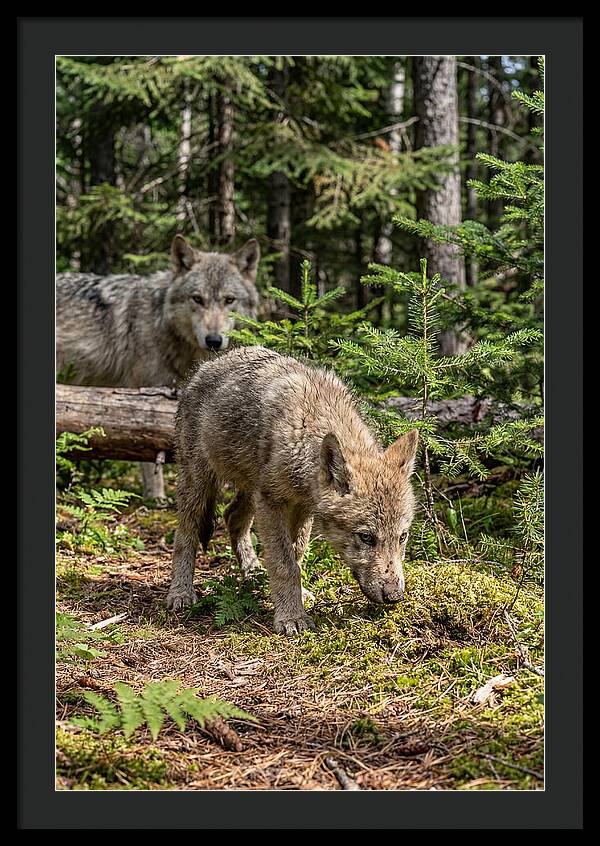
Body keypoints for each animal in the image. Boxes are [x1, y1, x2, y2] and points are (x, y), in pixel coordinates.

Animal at [56, 235, 260, 498]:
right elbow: (148, 453)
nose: (214, 340)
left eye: (229, 300)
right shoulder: (144, 397)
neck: (162, 323)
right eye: (197, 299)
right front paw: (156, 498)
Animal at [167, 346, 419, 635]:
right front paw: (290, 617)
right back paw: (180, 593)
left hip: (251, 491)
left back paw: (253, 573)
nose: (394, 596)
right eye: (366, 537)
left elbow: (296, 556)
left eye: (402, 537)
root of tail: (206, 366)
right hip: (199, 484)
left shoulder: (302, 508)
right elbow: (284, 564)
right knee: (185, 534)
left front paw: (295, 597)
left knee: (232, 516)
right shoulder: (272, 503)